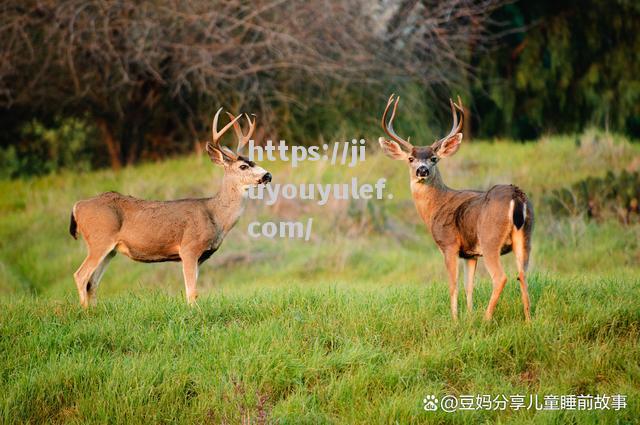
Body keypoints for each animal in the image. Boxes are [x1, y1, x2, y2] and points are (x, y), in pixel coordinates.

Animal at [69, 107, 272, 306]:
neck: (215, 215)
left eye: (253, 162)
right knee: (81, 275)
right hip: (100, 239)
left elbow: (193, 291)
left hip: (110, 250)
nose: (267, 175)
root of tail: (77, 206)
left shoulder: (200, 257)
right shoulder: (189, 248)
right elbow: (192, 292)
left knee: (92, 282)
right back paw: (85, 312)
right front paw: (194, 312)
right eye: (243, 166)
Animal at [380, 94, 536, 320]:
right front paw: (468, 317)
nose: (422, 170)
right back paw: (528, 321)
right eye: (410, 158)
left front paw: (455, 319)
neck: (435, 207)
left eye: (434, 158)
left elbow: (453, 285)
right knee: (523, 275)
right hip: (525, 236)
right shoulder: (470, 254)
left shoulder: (449, 245)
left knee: (501, 277)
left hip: (490, 238)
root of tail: (517, 196)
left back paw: (487, 319)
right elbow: (468, 286)